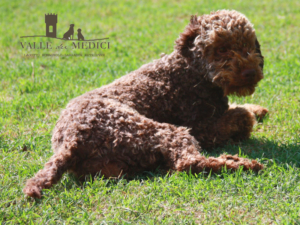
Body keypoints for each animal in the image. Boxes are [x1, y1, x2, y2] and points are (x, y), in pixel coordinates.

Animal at [23, 9, 268, 198]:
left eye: (248, 45)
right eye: (222, 49)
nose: (250, 72)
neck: (191, 69)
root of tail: (70, 143)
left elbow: (244, 109)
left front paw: (258, 109)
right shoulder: (204, 127)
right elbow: (243, 117)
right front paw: (248, 115)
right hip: (160, 130)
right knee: (188, 163)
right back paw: (242, 163)